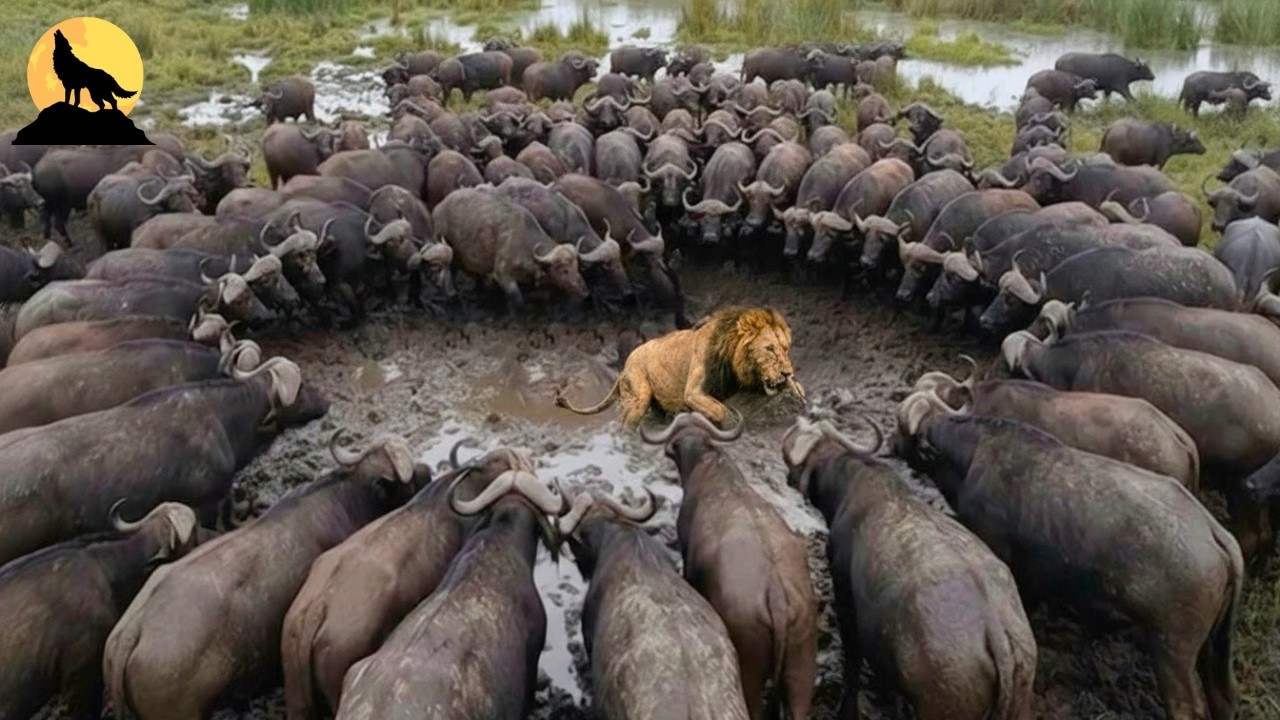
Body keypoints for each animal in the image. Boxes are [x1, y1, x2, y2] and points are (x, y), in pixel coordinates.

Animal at [555, 306, 804, 428]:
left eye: (785, 348)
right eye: (769, 348)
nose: (787, 372)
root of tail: (623, 367)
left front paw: (797, 389)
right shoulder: (693, 393)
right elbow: (721, 410)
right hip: (638, 392)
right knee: (626, 424)